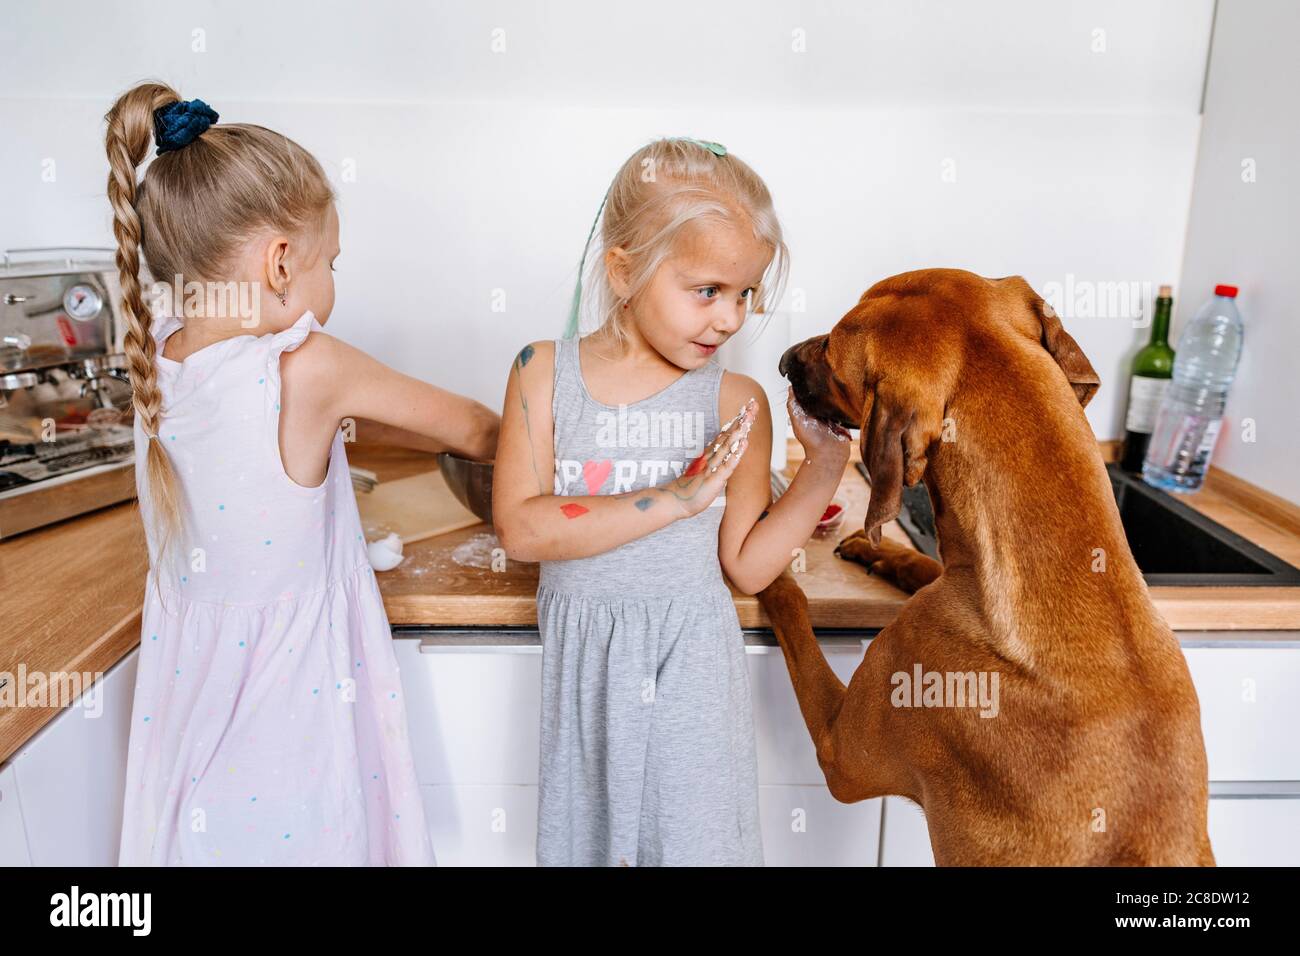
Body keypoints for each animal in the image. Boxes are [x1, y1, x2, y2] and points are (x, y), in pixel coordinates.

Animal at [759, 267, 1216, 868]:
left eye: (832, 349)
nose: (783, 360)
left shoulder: (840, 747)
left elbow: (794, 613)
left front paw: (772, 571)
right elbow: (924, 564)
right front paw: (884, 552)